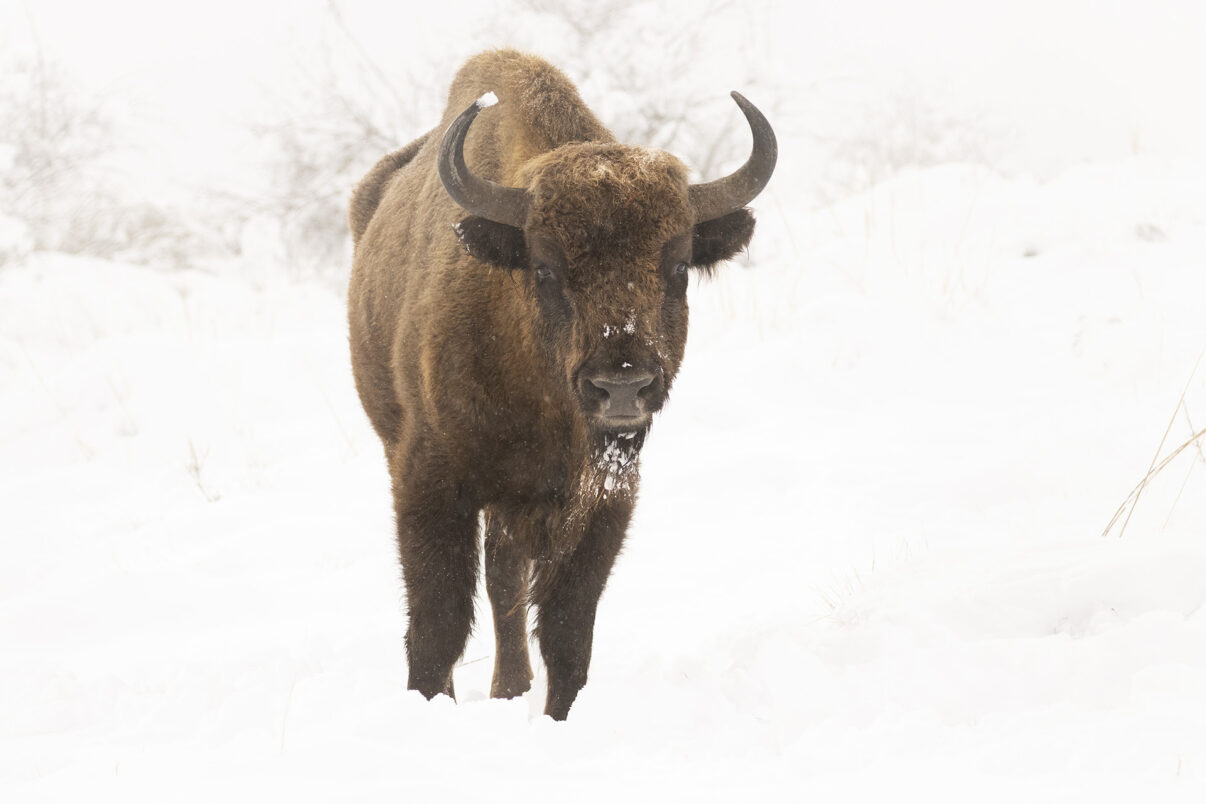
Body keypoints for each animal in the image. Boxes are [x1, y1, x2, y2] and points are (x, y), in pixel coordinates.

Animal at [347, 49, 776, 720]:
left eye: (679, 266)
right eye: (546, 268)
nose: (622, 386)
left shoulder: (603, 499)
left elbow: (567, 631)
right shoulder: (429, 480)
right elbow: (439, 623)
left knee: (506, 583)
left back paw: (511, 690)